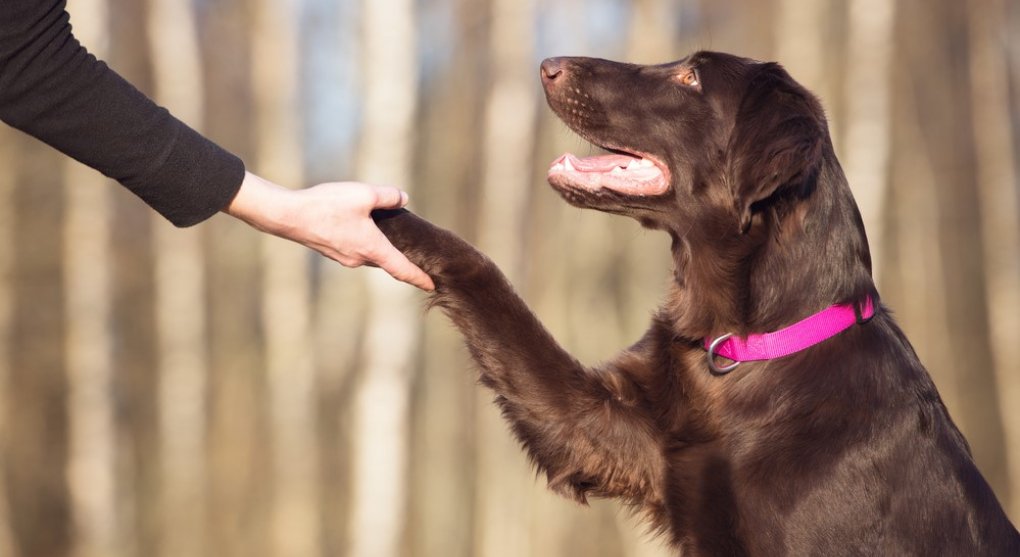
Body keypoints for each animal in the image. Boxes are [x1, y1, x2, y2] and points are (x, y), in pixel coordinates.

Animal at [377, 51, 1020, 550]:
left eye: (690, 79)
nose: (547, 66)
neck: (746, 346)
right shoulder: (603, 430)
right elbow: (485, 279)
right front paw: (383, 215)